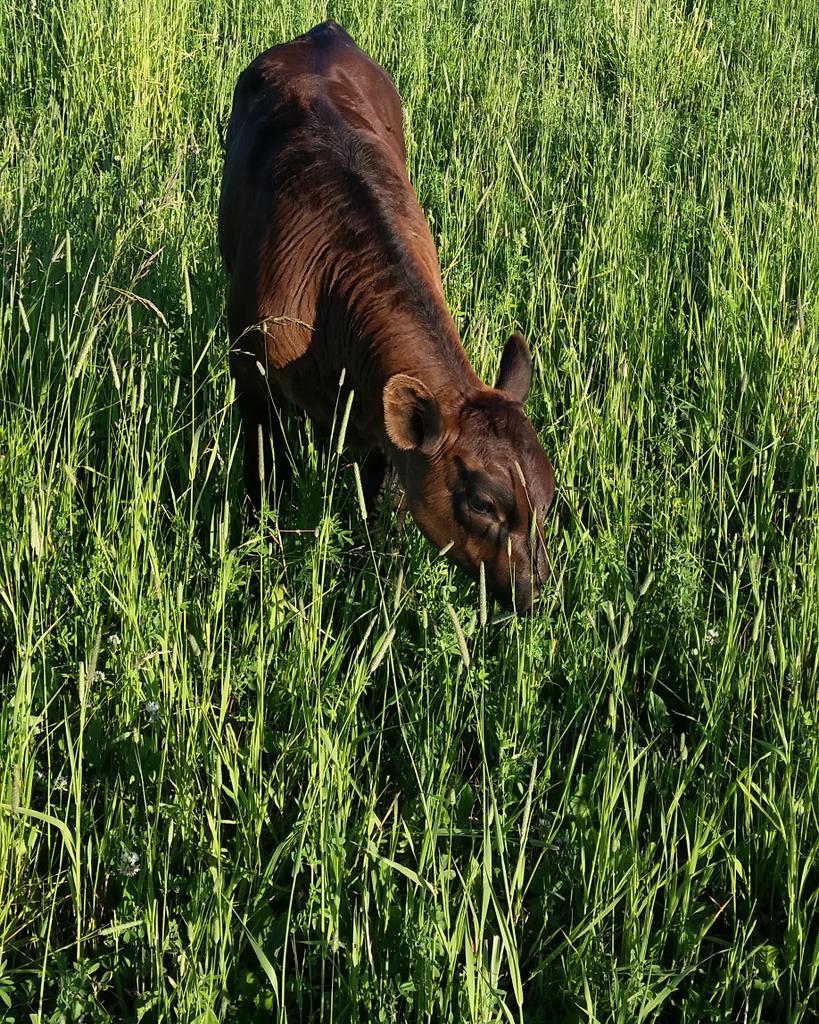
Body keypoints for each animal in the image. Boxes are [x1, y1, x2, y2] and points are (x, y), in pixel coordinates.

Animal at [218, 21, 554, 612]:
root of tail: (322, 32)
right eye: (484, 504)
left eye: (549, 497)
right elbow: (265, 477)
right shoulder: (249, 371)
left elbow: (378, 507)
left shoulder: (382, 428)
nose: (536, 592)